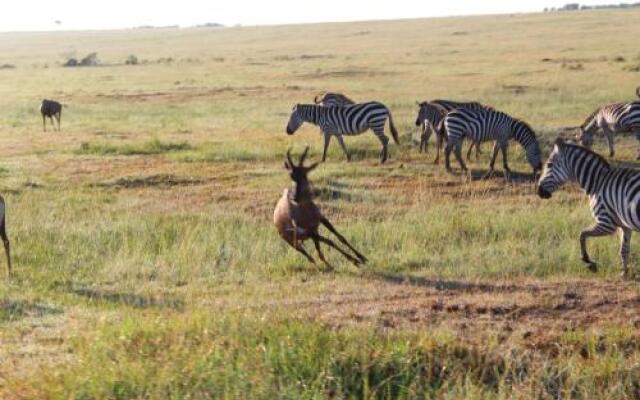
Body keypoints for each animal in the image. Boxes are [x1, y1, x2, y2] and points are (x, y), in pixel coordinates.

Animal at [536, 139, 640, 276]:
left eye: (549, 165)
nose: (538, 191)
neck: (597, 182)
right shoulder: (624, 225)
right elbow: (624, 250)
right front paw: (624, 273)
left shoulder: (607, 223)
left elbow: (582, 234)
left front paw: (588, 261)